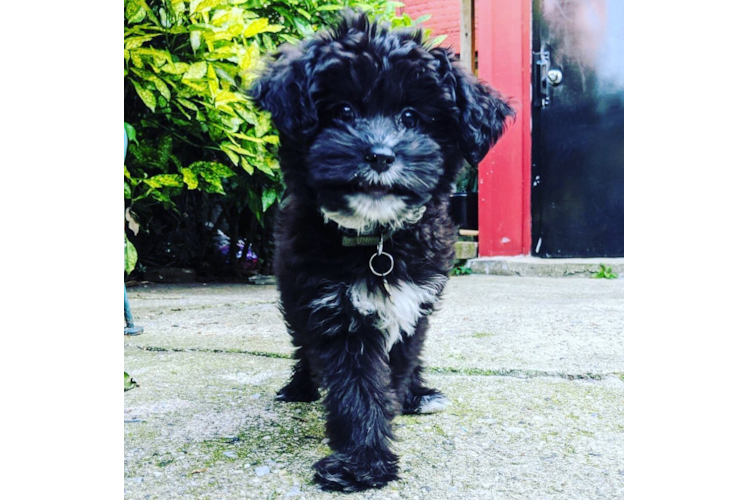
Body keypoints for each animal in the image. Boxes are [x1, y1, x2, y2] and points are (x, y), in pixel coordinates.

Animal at [251, 11, 516, 492]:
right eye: (343, 111)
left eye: (412, 116)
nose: (379, 155)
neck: (378, 241)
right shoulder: (333, 309)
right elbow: (358, 385)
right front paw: (363, 461)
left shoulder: (416, 300)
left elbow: (400, 361)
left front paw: (395, 407)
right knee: (302, 345)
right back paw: (300, 387)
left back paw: (417, 393)